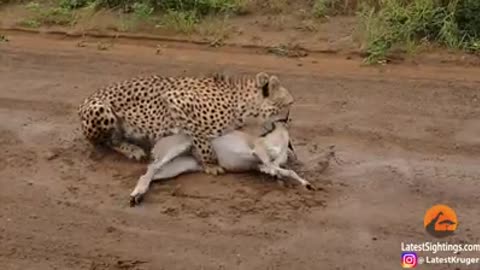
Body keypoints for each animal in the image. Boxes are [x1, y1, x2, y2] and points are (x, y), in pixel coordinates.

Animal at [77, 71, 294, 175]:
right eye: (288, 104)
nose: (289, 118)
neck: (241, 103)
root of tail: (85, 99)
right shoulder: (174, 99)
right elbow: (201, 137)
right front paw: (210, 163)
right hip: (102, 110)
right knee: (105, 142)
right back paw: (131, 149)